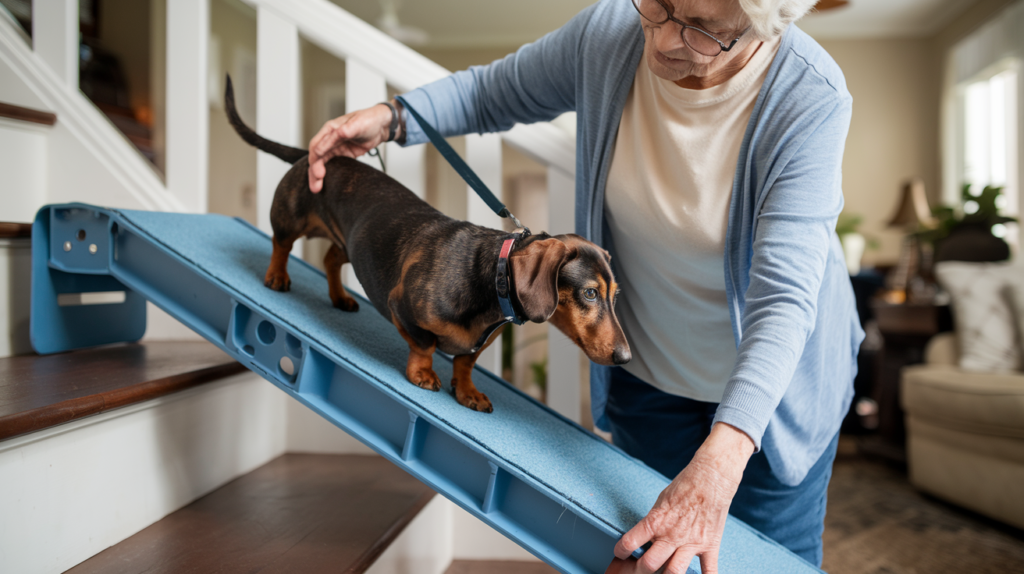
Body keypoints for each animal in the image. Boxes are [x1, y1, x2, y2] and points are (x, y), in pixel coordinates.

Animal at [225, 79, 626, 411]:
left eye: (614, 295)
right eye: (590, 293)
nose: (625, 357)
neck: (489, 281)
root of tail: (312, 156)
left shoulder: (477, 345)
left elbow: (465, 362)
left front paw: (467, 392)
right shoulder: (401, 305)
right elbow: (425, 345)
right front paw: (423, 374)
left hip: (348, 241)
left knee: (330, 259)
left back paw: (339, 297)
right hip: (291, 217)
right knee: (281, 244)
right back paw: (277, 276)